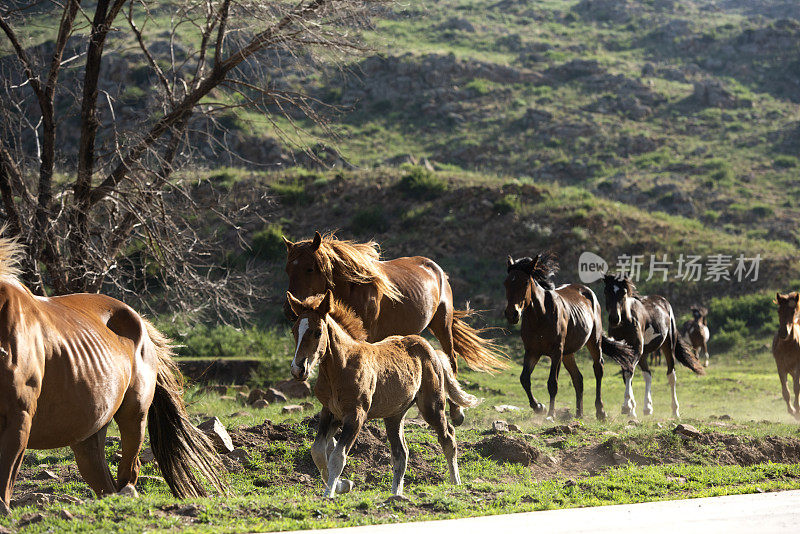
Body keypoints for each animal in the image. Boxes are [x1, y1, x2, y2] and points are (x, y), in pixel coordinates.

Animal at [0, 234, 227, 516]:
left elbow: (5, 482)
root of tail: (140, 322)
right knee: (104, 483)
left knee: (128, 473)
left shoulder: (18, 418)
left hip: (134, 416)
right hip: (89, 433)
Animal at [284, 232, 504, 426]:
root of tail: (438, 270)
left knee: (451, 360)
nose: (289, 310)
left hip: (442, 324)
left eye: (309, 268)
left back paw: (456, 412)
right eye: (288, 270)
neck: (353, 287)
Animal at [286, 292, 478, 500]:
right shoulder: (330, 412)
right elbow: (318, 450)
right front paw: (343, 485)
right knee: (401, 453)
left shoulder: (356, 415)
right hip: (394, 416)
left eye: (318, 332)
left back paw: (456, 482)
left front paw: (329, 493)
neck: (340, 368)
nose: (298, 369)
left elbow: (338, 456)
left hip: (432, 407)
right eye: (294, 331)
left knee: (448, 437)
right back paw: (396, 494)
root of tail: (431, 349)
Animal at [504, 253, 636, 420]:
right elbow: (524, 379)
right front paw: (539, 407)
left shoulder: (556, 352)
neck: (540, 316)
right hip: (568, 353)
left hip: (593, 342)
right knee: (578, 378)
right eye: (506, 283)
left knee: (598, 369)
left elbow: (552, 383)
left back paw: (600, 411)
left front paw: (550, 414)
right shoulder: (532, 352)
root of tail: (588, 291)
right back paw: (579, 413)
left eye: (525, 282)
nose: (512, 314)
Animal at [604, 274, 704, 420]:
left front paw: (626, 407)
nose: (614, 318)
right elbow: (627, 375)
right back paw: (647, 408)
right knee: (648, 375)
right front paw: (631, 411)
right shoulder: (622, 351)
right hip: (644, 353)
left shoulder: (636, 349)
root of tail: (663, 301)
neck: (626, 322)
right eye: (606, 291)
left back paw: (675, 412)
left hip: (667, 345)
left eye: (623, 292)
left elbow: (628, 373)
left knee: (671, 376)